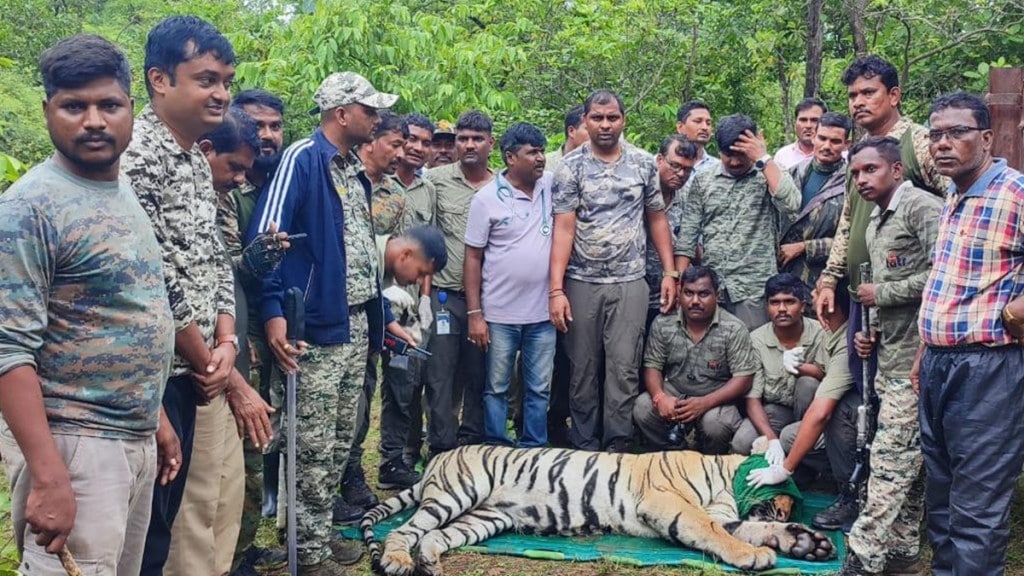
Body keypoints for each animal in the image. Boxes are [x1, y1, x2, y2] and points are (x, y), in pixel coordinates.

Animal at [364, 440, 835, 569]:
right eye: (781, 501)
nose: (787, 513)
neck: (725, 481)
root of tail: (438, 457)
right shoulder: (669, 503)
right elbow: (714, 530)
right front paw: (755, 555)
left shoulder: (723, 514)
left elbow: (745, 529)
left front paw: (807, 544)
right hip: (457, 493)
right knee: (405, 530)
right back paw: (398, 562)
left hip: (483, 519)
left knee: (436, 537)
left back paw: (429, 563)